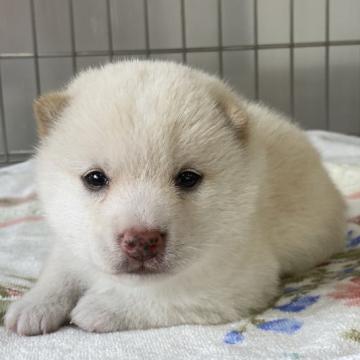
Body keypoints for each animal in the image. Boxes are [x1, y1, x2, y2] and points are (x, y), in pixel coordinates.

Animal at [3, 61, 346, 334]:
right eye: (95, 178)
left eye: (188, 178)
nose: (142, 240)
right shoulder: (72, 240)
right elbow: (59, 271)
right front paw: (33, 306)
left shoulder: (236, 281)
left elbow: (163, 296)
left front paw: (99, 306)